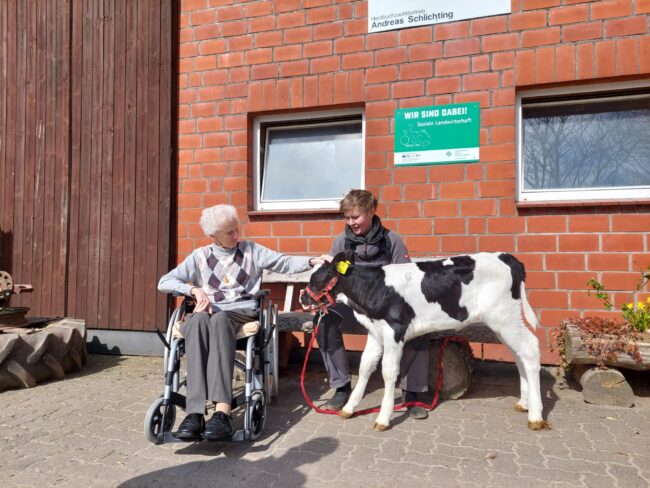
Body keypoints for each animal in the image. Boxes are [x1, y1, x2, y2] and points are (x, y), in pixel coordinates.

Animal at [298, 252, 548, 430]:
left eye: (318, 278)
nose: (303, 298)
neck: (375, 288)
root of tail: (507, 257)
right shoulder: (375, 331)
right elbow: (365, 366)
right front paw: (350, 407)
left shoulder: (395, 330)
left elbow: (388, 372)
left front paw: (383, 418)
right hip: (504, 322)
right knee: (518, 355)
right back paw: (524, 403)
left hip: (504, 316)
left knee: (530, 349)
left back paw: (536, 415)